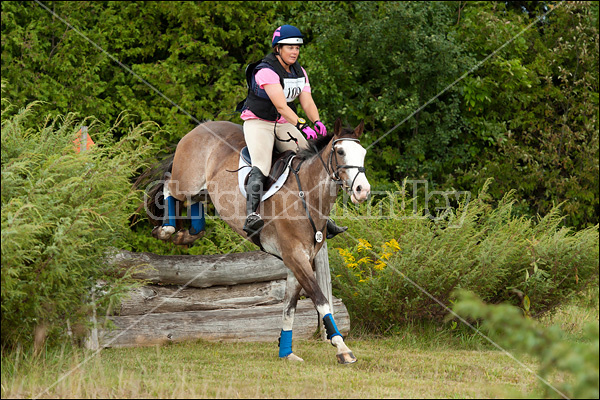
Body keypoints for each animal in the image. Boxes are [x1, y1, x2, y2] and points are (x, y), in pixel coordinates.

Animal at [145, 117, 370, 364]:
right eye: (340, 151)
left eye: (363, 153)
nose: (363, 190)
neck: (307, 197)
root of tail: (201, 126)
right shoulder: (295, 257)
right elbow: (320, 300)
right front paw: (342, 348)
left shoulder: (299, 261)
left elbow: (289, 308)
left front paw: (286, 351)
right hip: (188, 181)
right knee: (169, 185)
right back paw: (166, 229)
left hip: (203, 190)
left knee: (196, 202)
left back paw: (187, 234)